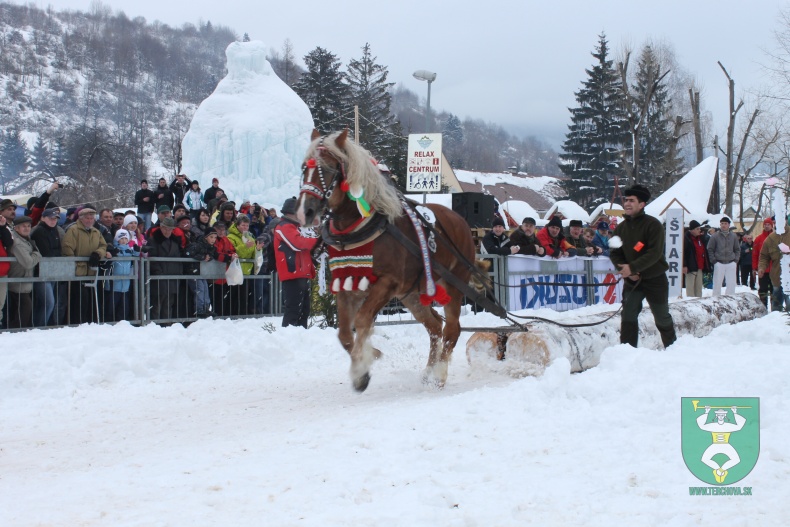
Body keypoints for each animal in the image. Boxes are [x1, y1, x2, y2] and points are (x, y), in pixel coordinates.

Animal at [296, 129, 476, 392]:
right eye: (304, 169)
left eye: (328, 169)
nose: (304, 212)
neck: (360, 226)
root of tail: (460, 220)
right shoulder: (347, 283)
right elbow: (344, 334)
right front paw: (368, 357)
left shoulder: (387, 283)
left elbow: (361, 321)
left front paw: (361, 368)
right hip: (412, 293)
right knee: (434, 326)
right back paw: (428, 371)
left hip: (454, 284)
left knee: (452, 329)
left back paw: (440, 375)